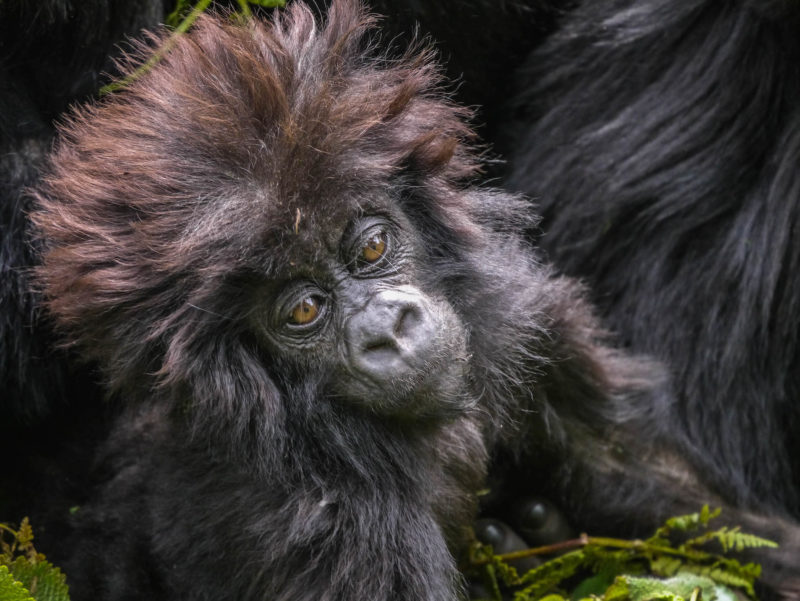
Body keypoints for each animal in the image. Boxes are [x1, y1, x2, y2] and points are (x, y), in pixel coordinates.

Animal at [31, 1, 800, 600]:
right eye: (303, 311)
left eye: (371, 247)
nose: (389, 328)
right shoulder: (320, 515)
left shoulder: (517, 324)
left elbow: (627, 470)